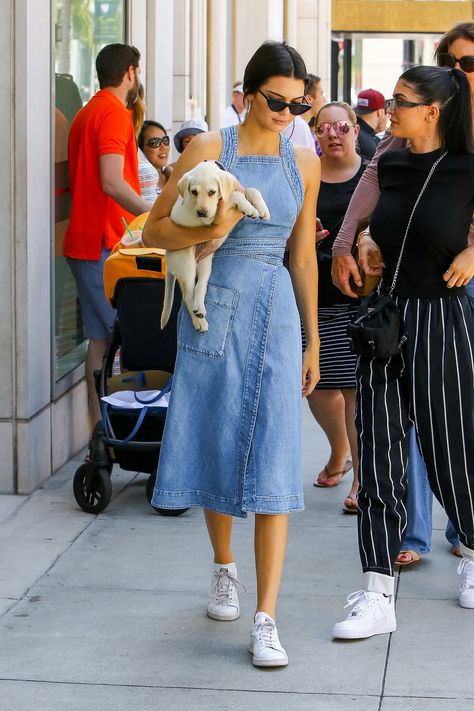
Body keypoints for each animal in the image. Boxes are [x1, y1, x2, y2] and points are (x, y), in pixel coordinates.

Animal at [161, 160, 268, 332]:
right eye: (193, 192)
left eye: (212, 192)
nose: (201, 212)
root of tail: (167, 257)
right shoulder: (212, 218)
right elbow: (235, 195)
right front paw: (249, 208)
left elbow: (251, 189)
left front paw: (262, 209)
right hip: (186, 265)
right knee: (188, 296)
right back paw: (199, 322)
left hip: (205, 264)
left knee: (200, 287)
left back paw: (200, 309)